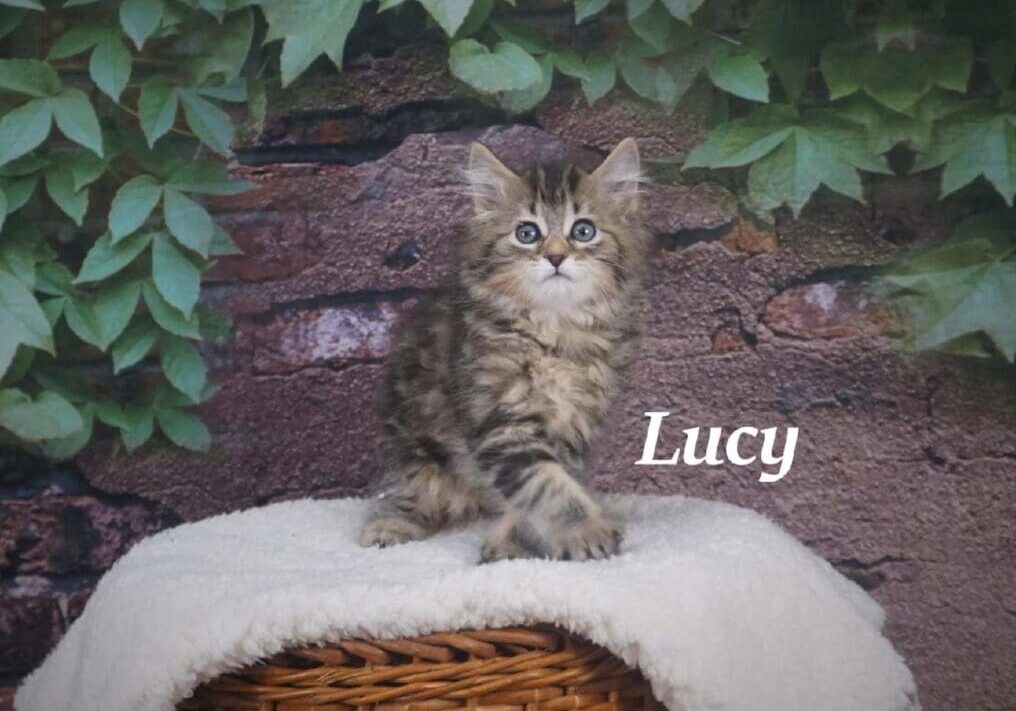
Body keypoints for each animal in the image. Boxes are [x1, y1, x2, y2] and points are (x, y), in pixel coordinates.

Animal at [361, 139, 654, 560]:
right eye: (527, 233)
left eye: (583, 231)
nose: (555, 256)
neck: (554, 330)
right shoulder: (499, 415)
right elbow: (546, 487)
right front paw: (587, 531)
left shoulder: (574, 426)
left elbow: (549, 485)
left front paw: (512, 541)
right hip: (412, 446)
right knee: (405, 493)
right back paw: (389, 526)